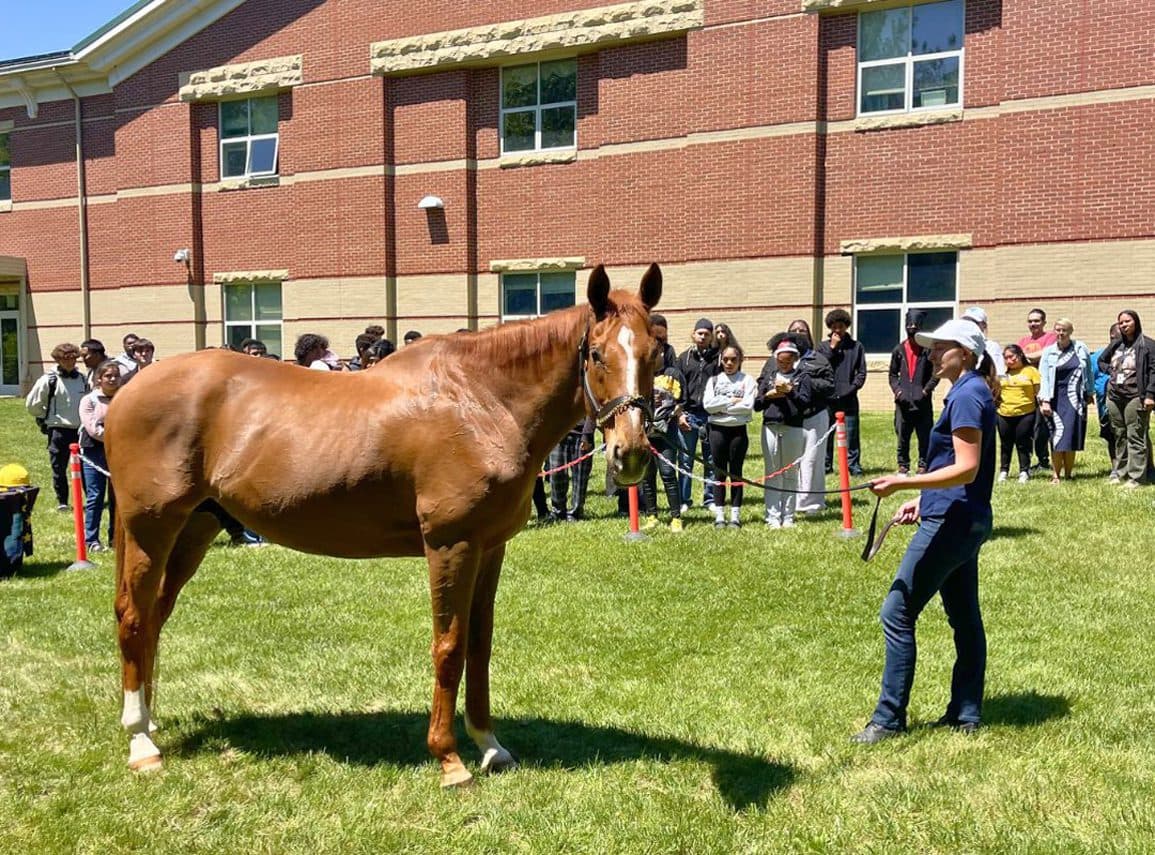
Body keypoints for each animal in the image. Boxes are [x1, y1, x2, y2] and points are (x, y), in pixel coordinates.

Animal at [105, 263, 662, 787]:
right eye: (596, 355)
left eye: (655, 354)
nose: (631, 453)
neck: (482, 402)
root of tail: (127, 391)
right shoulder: (451, 545)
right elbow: (449, 646)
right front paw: (450, 759)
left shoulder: (490, 548)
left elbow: (479, 646)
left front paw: (490, 746)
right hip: (150, 528)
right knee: (133, 617)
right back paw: (140, 742)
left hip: (196, 527)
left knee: (154, 617)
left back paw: (150, 722)